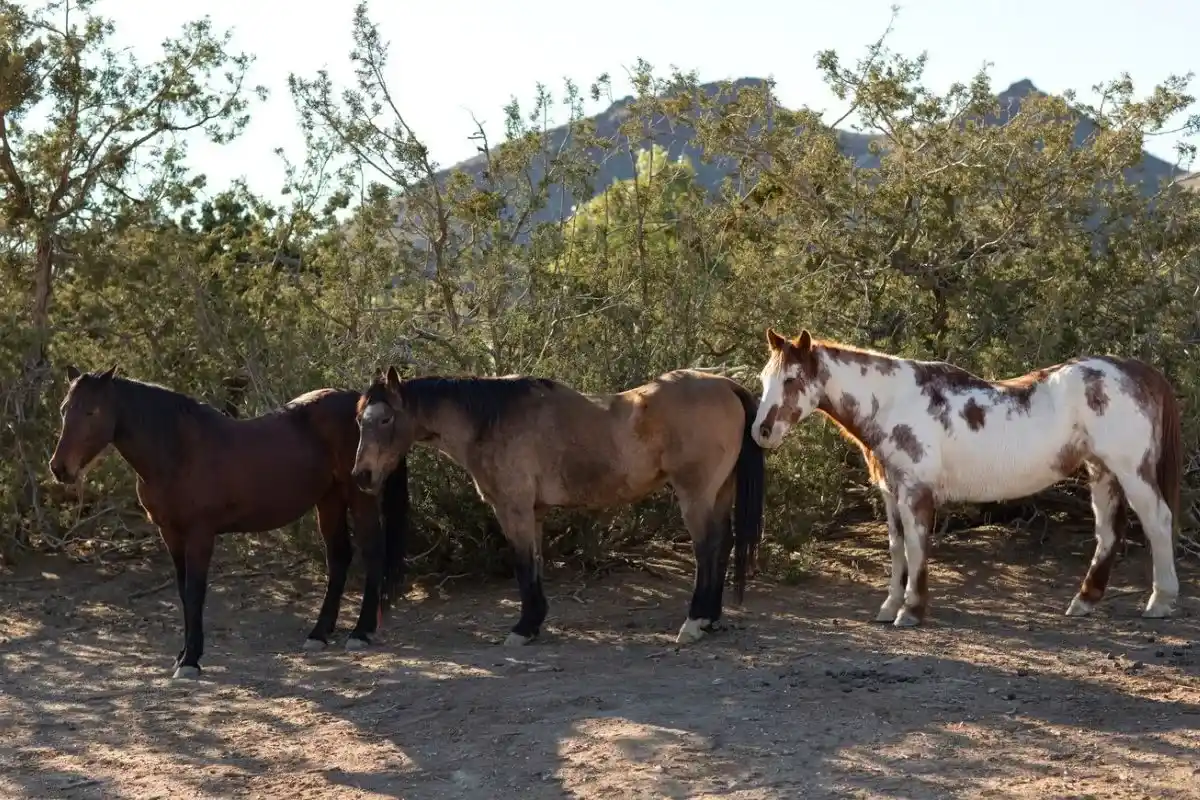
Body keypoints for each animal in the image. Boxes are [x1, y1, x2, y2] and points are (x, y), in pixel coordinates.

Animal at [48, 367, 408, 681]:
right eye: (64, 409)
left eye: (92, 411)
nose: (59, 468)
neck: (178, 451)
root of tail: (358, 404)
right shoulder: (171, 534)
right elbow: (183, 593)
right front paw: (182, 655)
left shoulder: (200, 534)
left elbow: (195, 593)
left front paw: (190, 661)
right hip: (328, 499)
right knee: (339, 557)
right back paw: (319, 634)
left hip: (359, 495)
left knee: (372, 552)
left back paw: (361, 632)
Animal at [348, 367, 763, 647]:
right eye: (358, 419)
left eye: (385, 419)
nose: (362, 476)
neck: (491, 421)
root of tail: (724, 384)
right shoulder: (533, 512)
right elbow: (534, 565)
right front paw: (534, 623)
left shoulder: (512, 509)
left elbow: (522, 564)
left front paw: (522, 629)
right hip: (719, 493)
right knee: (722, 546)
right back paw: (711, 620)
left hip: (696, 495)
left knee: (707, 551)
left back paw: (694, 623)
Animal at [748, 328, 1180, 628]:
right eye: (764, 378)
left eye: (791, 380)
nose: (761, 432)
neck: (893, 402)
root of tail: (1137, 370)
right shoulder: (890, 493)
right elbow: (896, 548)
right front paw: (889, 607)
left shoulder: (915, 492)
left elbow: (917, 548)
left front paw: (911, 611)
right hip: (1102, 471)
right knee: (1108, 533)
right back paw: (1084, 602)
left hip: (1131, 471)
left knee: (1158, 522)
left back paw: (1160, 602)